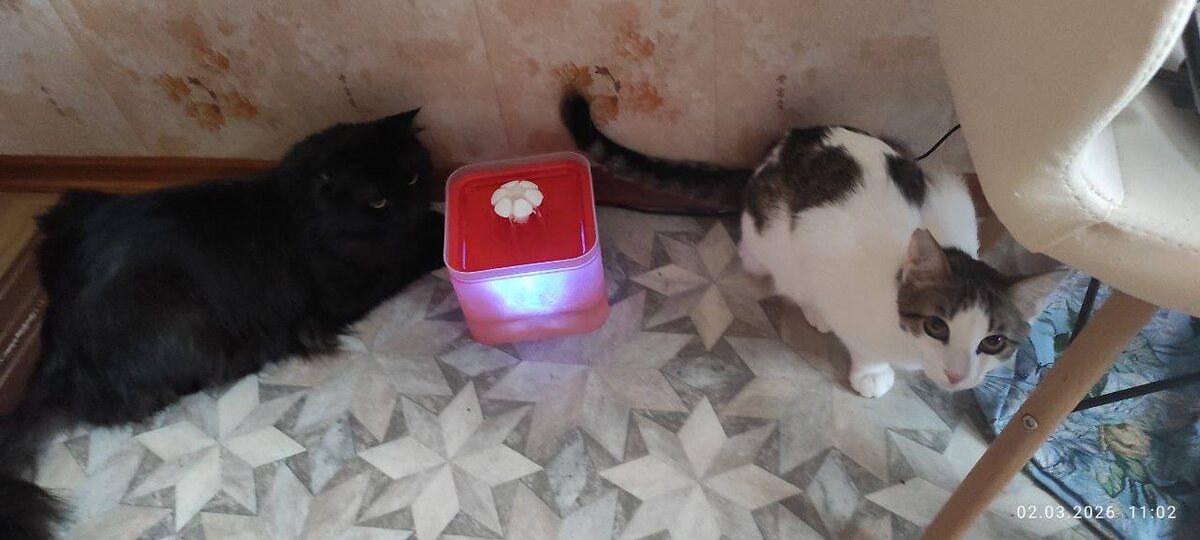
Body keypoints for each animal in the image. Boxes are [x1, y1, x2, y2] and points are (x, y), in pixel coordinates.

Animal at [0, 110, 445, 539]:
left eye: (411, 176)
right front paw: (437, 231)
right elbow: (411, 252)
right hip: (187, 327)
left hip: (72, 210)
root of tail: (56, 335)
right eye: (378, 201)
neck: (296, 210)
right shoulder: (346, 290)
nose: (412, 208)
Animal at [561, 92, 1061, 399]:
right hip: (772, 236)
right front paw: (870, 371)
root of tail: (774, 152)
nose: (957, 375)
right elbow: (857, 338)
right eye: (937, 326)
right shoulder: (826, 241)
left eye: (993, 342)